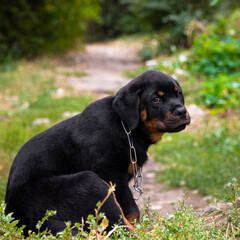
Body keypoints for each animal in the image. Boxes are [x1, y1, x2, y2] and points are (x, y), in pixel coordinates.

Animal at [4, 69, 190, 234]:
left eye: (179, 94)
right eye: (156, 99)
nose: (182, 111)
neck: (125, 127)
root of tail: (23, 220)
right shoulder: (112, 176)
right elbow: (131, 211)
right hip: (90, 182)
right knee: (117, 225)